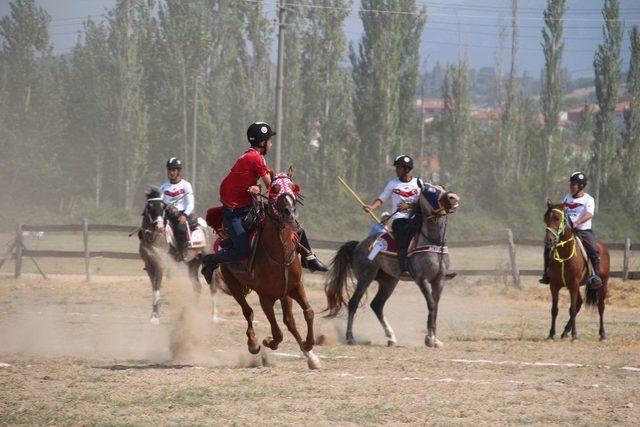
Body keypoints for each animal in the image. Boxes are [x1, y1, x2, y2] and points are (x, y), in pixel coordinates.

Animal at [139, 189, 219, 326]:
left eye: (163, 207)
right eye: (149, 207)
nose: (159, 227)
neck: (152, 238)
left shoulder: (160, 264)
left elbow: (157, 287)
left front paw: (155, 317)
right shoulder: (149, 266)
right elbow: (154, 288)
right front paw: (153, 315)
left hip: (208, 261)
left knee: (212, 286)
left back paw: (214, 317)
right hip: (193, 263)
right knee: (197, 286)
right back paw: (194, 313)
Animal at [212, 172, 320, 370]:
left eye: (293, 187)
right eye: (274, 189)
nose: (289, 212)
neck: (280, 253)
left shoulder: (294, 287)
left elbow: (308, 312)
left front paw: (309, 347)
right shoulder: (265, 296)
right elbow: (277, 332)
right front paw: (268, 341)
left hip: (284, 294)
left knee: (289, 321)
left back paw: (310, 356)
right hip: (232, 282)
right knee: (248, 311)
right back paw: (253, 343)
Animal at [324, 184, 460, 348]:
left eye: (442, 188)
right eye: (431, 190)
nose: (453, 198)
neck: (433, 241)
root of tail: (359, 244)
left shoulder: (439, 280)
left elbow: (435, 307)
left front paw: (435, 339)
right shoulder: (422, 280)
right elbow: (432, 305)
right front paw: (429, 339)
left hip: (389, 281)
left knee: (377, 305)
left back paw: (391, 337)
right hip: (365, 278)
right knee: (353, 303)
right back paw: (350, 338)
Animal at [544, 202, 608, 342]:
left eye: (557, 218)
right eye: (545, 219)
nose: (549, 241)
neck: (564, 253)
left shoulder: (573, 284)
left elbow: (572, 309)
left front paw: (574, 335)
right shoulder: (554, 285)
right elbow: (554, 309)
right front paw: (551, 334)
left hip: (603, 284)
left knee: (600, 306)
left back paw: (602, 334)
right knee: (579, 303)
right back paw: (564, 332)